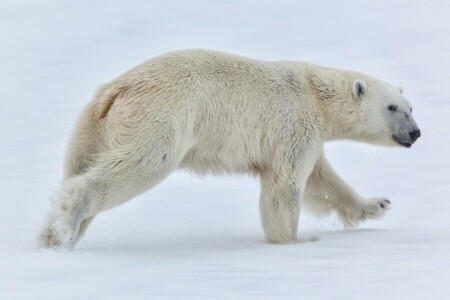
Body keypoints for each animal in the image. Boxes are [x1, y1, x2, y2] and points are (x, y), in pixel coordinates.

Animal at [39, 48, 422, 248]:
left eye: (411, 106)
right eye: (392, 107)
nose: (416, 133)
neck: (317, 93)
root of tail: (117, 90)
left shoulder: (306, 133)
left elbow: (322, 182)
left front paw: (377, 204)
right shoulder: (295, 121)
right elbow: (287, 184)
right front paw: (295, 241)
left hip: (92, 127)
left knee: (78, 165)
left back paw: (51, 237)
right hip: (162, 115)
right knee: (141, 163)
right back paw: (68, 224)